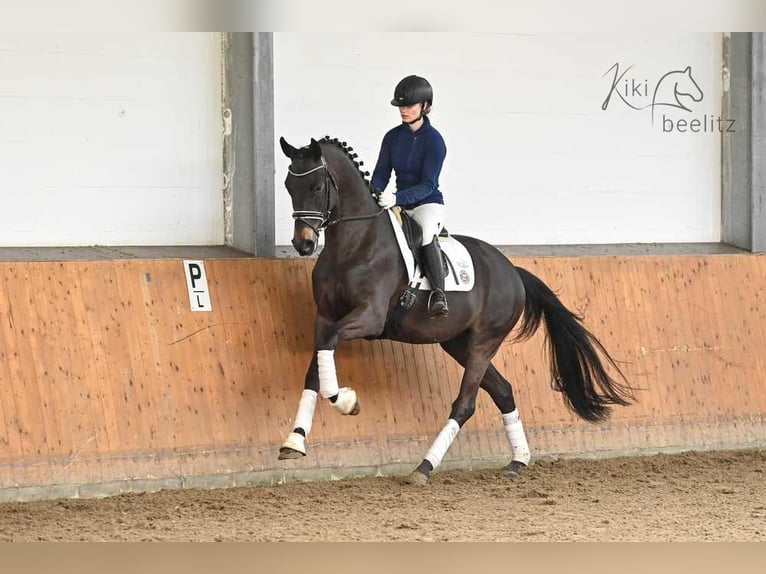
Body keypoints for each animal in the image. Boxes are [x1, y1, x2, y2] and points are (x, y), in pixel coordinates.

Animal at [276, 135, 636, 486]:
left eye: (317, 187)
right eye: (289, 186)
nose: (303, 244)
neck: (354, 244)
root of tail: (512, 271)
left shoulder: (369, 316)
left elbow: (329, 351)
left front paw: (346, 401)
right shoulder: (325, 317)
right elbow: (316, 366)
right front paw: (295, 441)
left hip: (483, 343)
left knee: (465, 404)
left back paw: (424, 468)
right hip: (458, 343)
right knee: (503, 391)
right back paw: (517, 461)